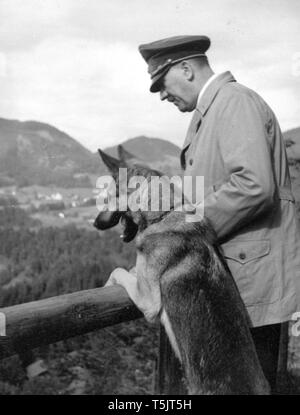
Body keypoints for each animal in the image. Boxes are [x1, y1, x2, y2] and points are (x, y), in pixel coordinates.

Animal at [94, 147, 270, 396]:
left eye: (109, 197)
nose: (95, 223)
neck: (165, 213)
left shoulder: (148, 301)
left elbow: (118, 271)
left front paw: (107, 283)